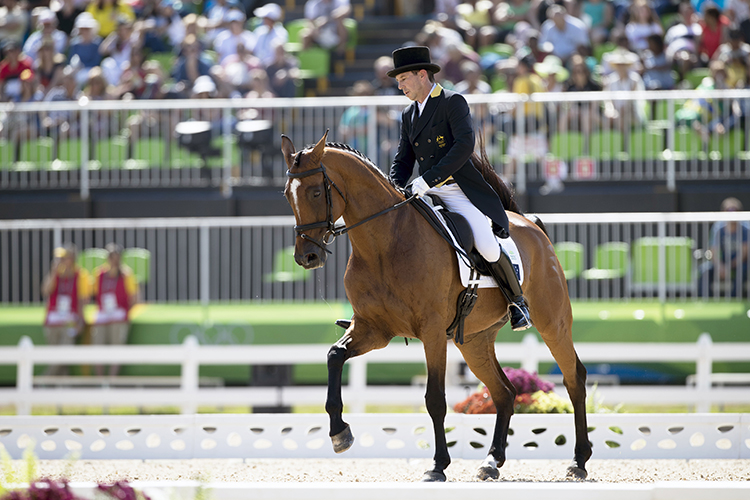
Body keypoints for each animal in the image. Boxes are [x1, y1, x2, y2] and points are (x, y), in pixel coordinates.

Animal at [284, 132, 592, 480]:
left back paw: (578, 461)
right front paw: (340, 433)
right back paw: (491, 462)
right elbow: (335, 355)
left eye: (315, 191)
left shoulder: (430, 333)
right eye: (287, 195)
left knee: (574, 378)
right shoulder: (373, 329)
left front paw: (438, 465)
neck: (383, 243)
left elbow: (435, 399)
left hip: (553, 323)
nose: (307, 257)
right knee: (504, 392)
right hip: (474, 341)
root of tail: (531, 224)